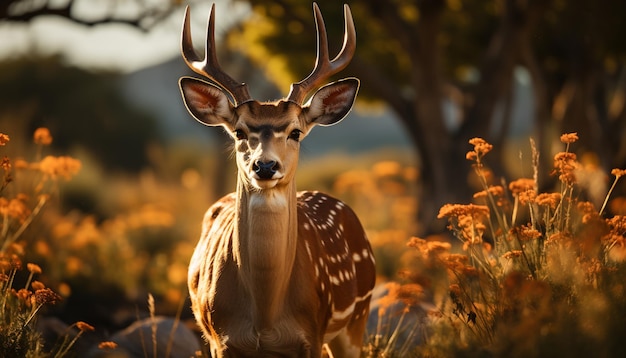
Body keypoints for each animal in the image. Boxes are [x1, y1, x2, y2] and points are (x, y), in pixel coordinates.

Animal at [180, 3, 376, 358]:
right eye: (239, 131)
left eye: (295, 132)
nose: (266, 166)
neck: (265, 317)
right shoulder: (219, 339)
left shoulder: (311, 335)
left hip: (359, 315)